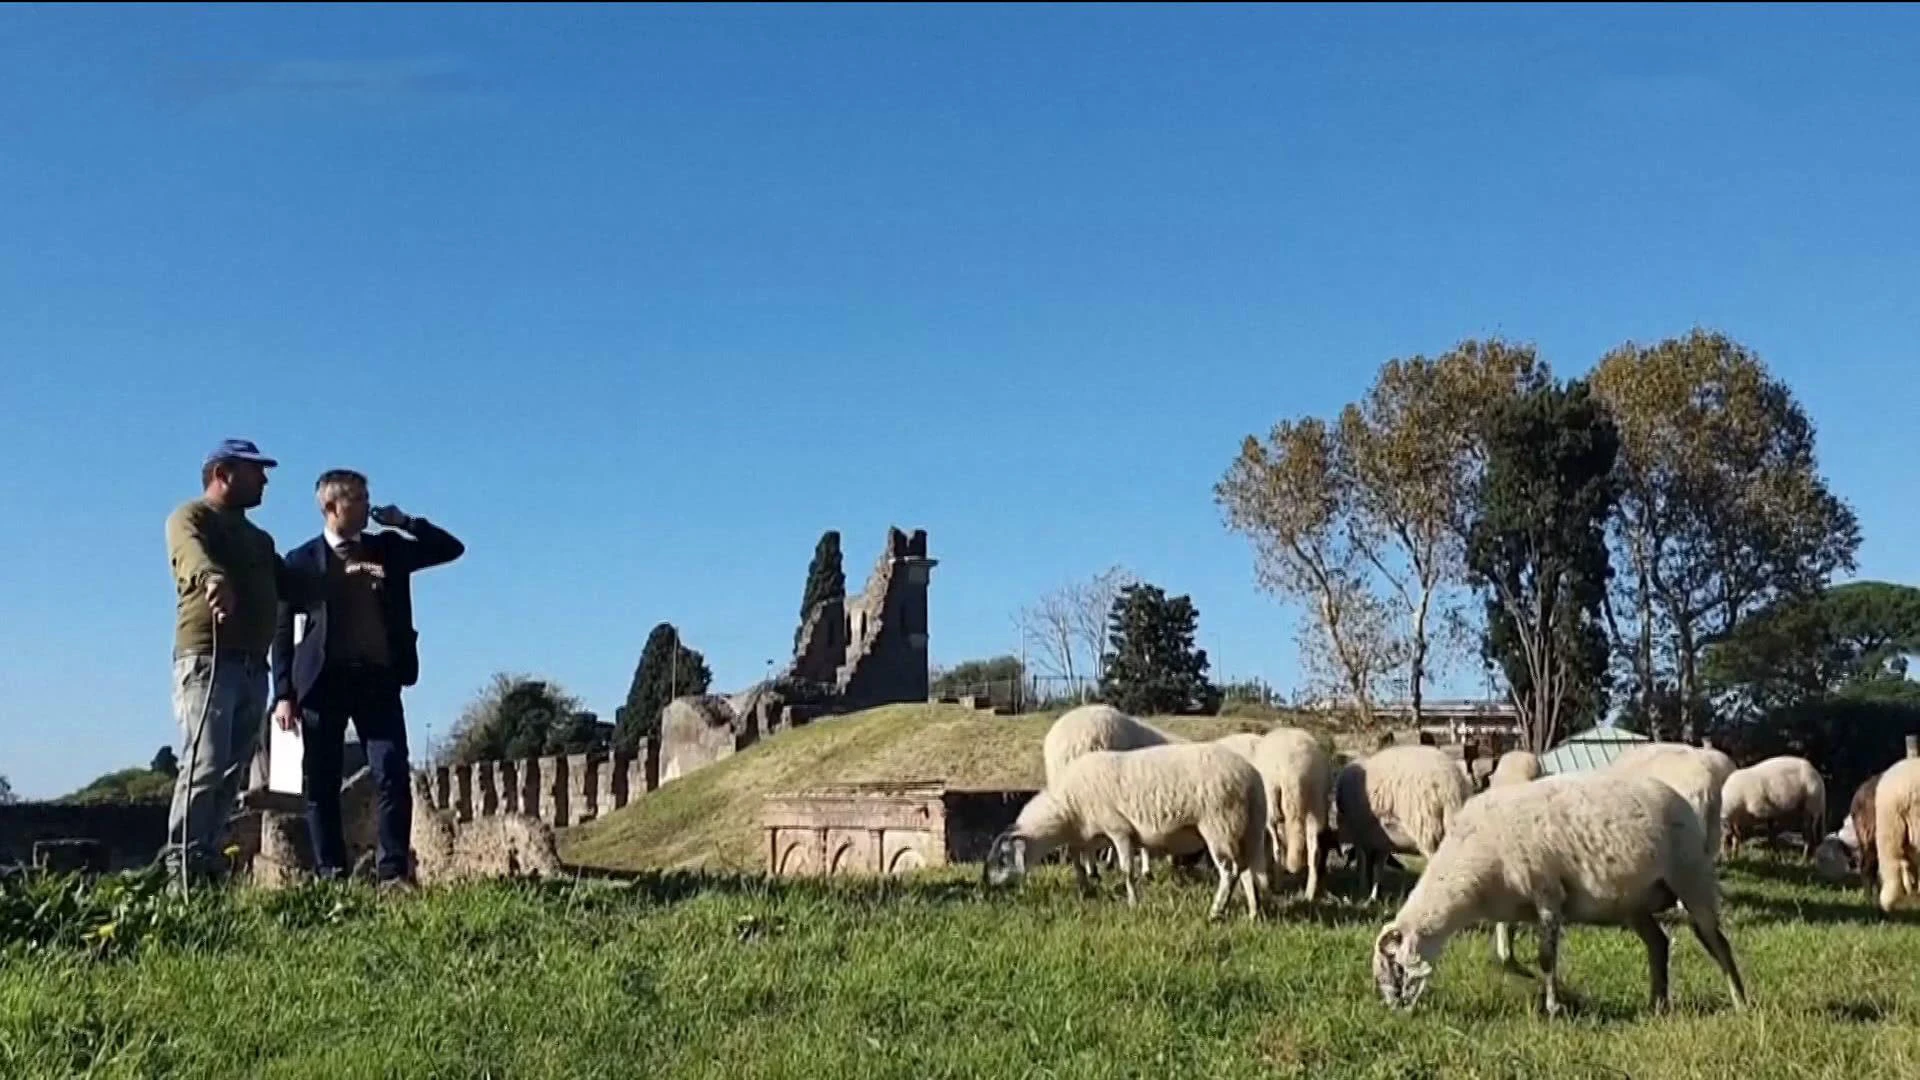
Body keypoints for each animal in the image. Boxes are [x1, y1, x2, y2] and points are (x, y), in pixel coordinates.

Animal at [990, 737, 1274, 914]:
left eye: (1003, 858)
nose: (987, 888)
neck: (1067, 809)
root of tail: (1253, 778)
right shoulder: (1087, 835)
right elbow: (1077, 862)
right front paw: (1085, 889)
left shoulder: (1119, 829)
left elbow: (1127, 870)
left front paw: (1133, 902)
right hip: (1244, 829)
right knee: (1246, 870)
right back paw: (1253, 912)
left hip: (1219, 825)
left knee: (1229, 871)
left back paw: (1216, 911)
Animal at [1336, 737, 1466, 899]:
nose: (1343, 851)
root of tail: (1451, 789)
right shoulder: (1381, 839)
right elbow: (1378, 866)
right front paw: (1373, 895)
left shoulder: (1361, 833)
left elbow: (1363, 863)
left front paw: (1363, 891)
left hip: (1426, 827)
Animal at [1374, 768, 1751, 1014]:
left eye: (1396, 966)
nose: (1396, 1011)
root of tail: (1680, 798)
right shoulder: (1508, 906)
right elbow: (1505, 956)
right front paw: (1548, 989)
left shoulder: (1548, 894)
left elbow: (1545, 956)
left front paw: (1554, 1006)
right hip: (1633, 902)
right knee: (1658, 943)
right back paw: (1657, 1004)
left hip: (1690, 878)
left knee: (1716, 942)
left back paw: (1741, 1002)